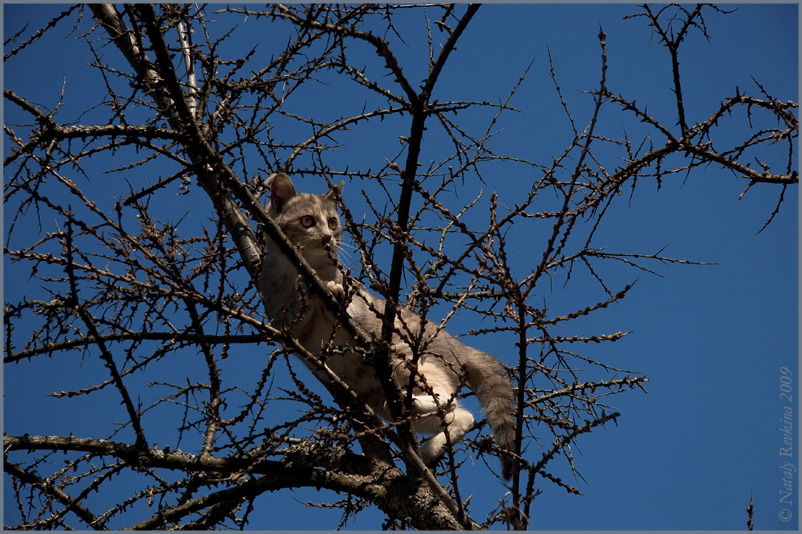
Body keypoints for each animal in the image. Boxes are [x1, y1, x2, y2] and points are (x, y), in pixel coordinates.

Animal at [258, 173, 520, 482]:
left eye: (332, 222)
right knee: (459, 416)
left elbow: (350, 302)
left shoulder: (359, 300)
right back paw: (425, 444)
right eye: (307, 221)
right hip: (379, 392)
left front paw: (335, 294)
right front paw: (307, 293)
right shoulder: (281, 321)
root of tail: (456, 344)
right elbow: (296, 323)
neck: (303, 268)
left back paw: (417, 407)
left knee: (446, 397)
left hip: (405, 355)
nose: (328, 237)